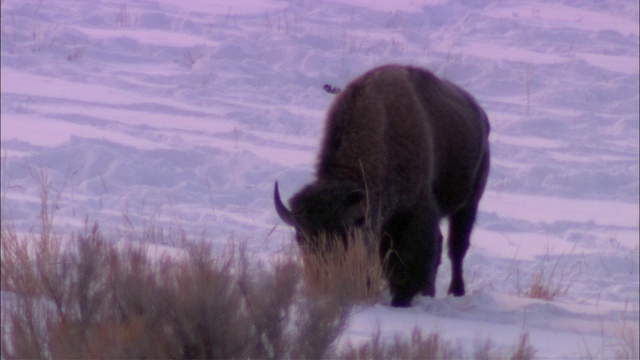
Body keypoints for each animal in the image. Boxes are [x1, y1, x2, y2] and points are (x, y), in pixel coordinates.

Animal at [274, 64, 490, 306]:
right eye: (301, 239)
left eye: (345, 236)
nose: (326, 282)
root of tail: (479, 114)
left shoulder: (413, 212)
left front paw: (402, 299)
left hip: (469, 204)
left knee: (457, 247)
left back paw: (456, 291)